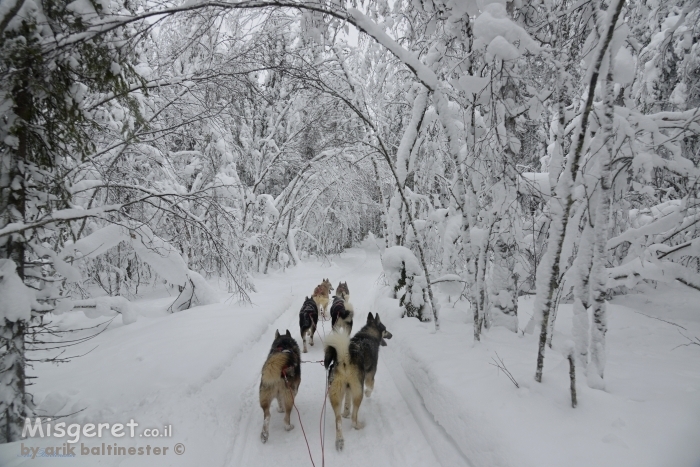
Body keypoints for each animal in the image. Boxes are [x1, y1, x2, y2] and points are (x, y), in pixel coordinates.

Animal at [324, 312, 394, 452]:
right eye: (385, 329)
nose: (391, 335)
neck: (368, 335)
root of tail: (344, 359)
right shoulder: (370, 377)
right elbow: (370, 388)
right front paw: (368, 393)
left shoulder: (348, 389)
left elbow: (346, 404)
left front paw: (345, 413)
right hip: (358, 393)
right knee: (354, 419)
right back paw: (360, 425)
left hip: (336, 396)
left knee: (338, 422)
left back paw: (339, 441)